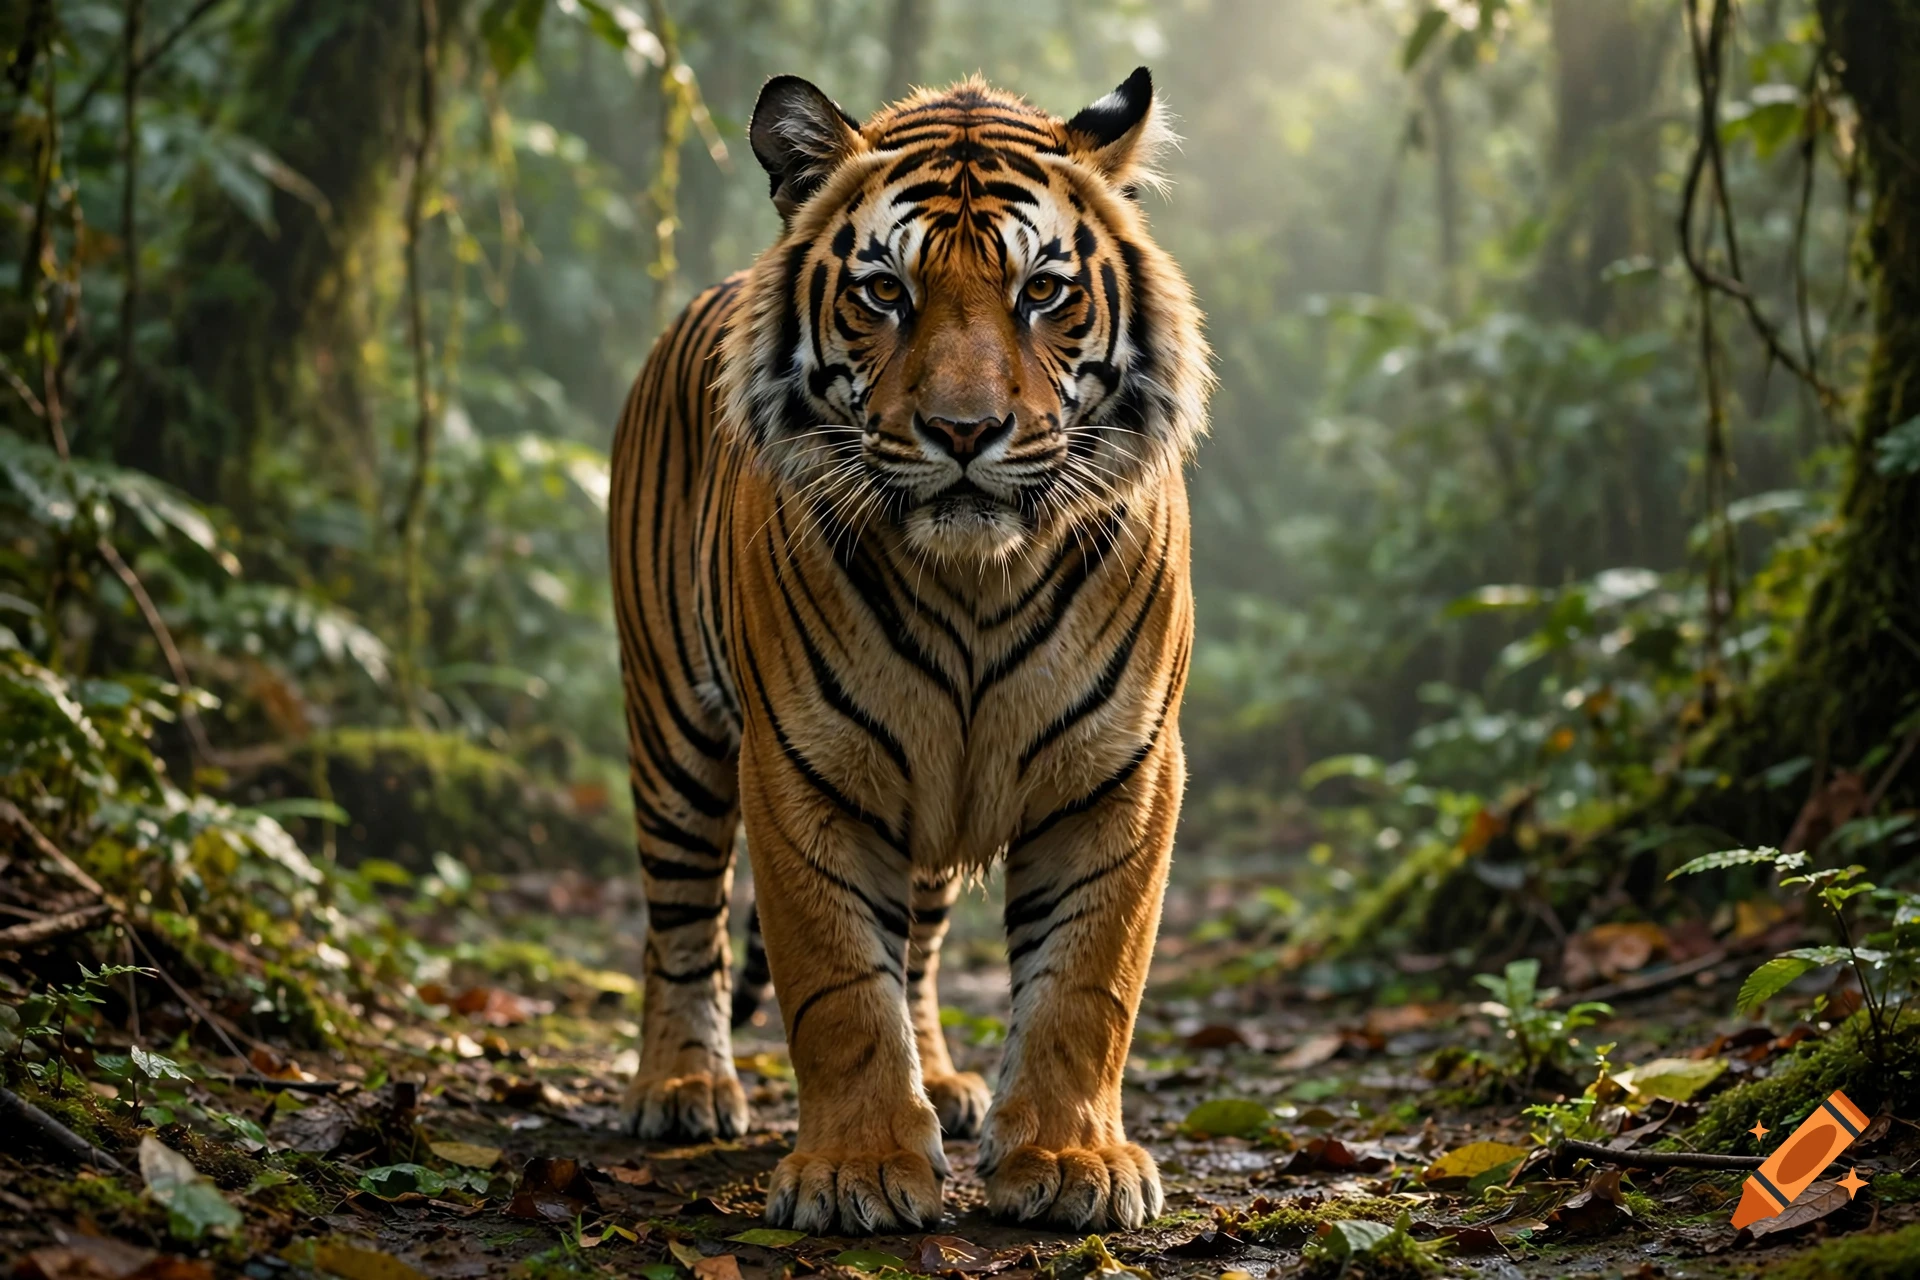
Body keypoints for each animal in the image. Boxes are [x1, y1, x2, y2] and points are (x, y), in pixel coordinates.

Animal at [608, 66, 1211, 1234]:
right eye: (885, 293)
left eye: (1042, 292)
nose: (964, 431)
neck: (976, 580)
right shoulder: (800, 765)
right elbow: (840, 985)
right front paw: (858, 1168)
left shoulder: (1123, 770)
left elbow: (1086, 984)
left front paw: (1070, 1159)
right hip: (675, 734)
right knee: (681, 922)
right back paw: (683, 1086)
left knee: (922, 944)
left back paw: (940, 1076)